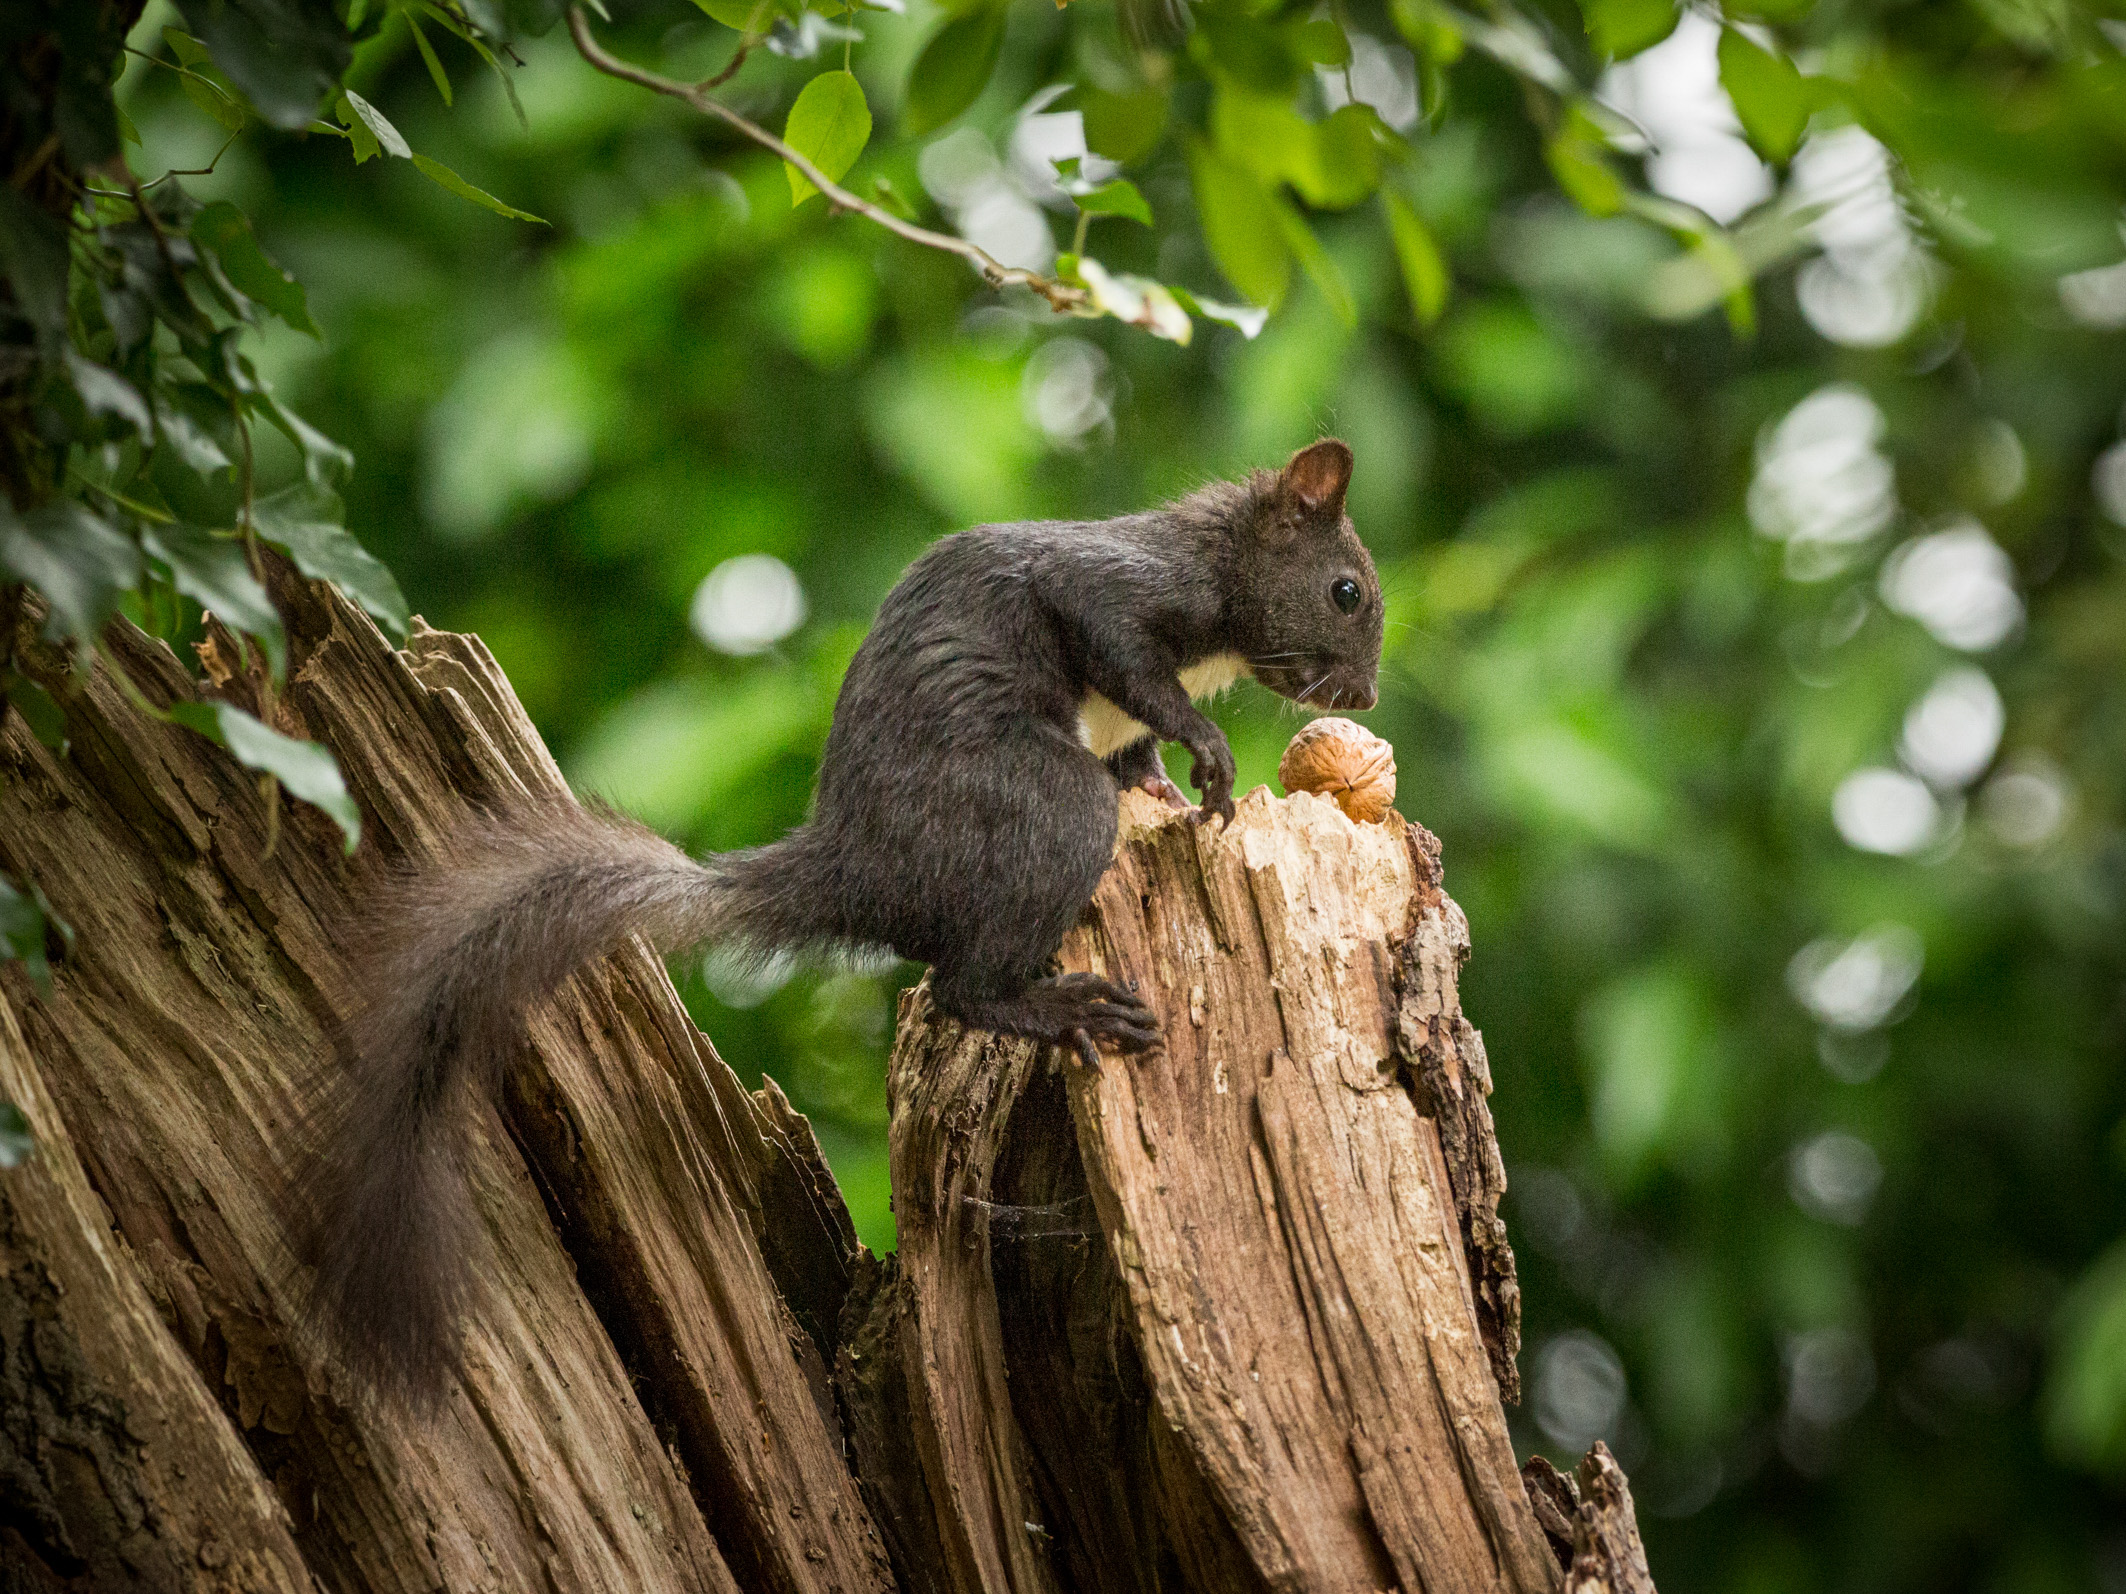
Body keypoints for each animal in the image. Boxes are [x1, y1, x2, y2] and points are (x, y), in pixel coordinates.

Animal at [308, 439, 1386, 1411]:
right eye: (1344, 592)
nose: (1366, 697)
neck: (1218, 573)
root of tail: (859, 870)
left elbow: (1138, 758)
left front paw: (1171, 787)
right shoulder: (1113, 593)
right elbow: (1133, 669)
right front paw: (1206, 751)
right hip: (1036, 803)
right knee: (965, 984)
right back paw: (1067, 1010)